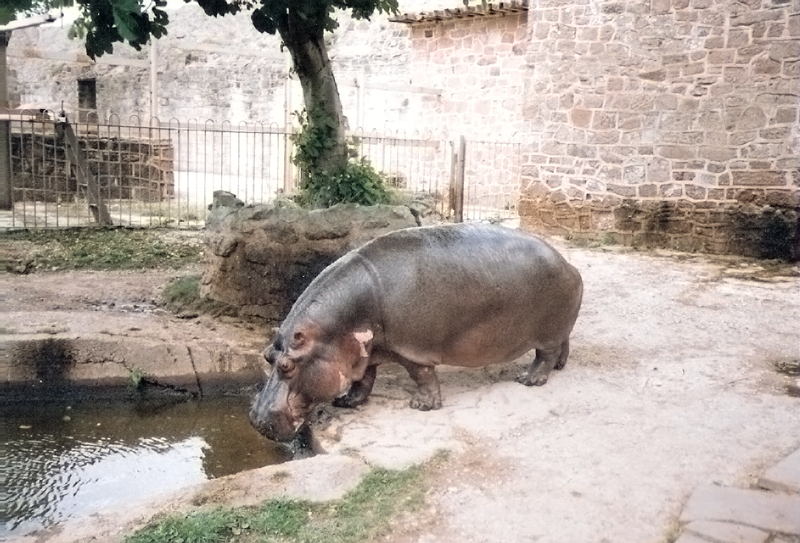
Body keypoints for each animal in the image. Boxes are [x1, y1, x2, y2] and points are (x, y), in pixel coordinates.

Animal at [250, 223, 583, 442]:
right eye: (266, 356)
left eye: (287, 366)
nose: (255, 420)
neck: (335, 330)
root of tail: (569, 264)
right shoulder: (366, 350)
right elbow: (365, 378)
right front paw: (347, 401)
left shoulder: (411, 348)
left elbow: (421, 374)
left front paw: (422, 406)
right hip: (559, 328)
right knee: (562, 345)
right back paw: (560, 366)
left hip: (547, 331)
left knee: (545, 354)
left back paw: (529, 380)